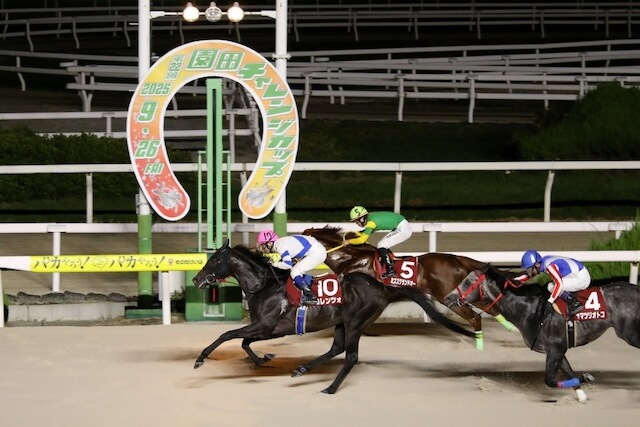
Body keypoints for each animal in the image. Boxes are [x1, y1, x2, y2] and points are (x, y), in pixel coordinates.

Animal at [191, 239, 474, 394]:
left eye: (215, 260)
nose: (196, 279)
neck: (264, 285)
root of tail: (383, 287)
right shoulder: (265, 328)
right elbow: (243, 342)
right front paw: (264, 359)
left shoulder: (267, 326)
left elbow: (228, 334)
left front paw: (200, 359)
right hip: (341, 322)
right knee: (337, 348)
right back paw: (302, 370)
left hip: (356, 322)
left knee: (350, 356)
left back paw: (330, 388)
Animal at [303, 226, 516, 350]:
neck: (350, 259)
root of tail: (457, 259)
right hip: (462, 292)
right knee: (490, 308)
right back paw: (511, 329)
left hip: (448, 295)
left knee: (474, 317)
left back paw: (480, 344)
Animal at [442, 265, 640, 403]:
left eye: (468, 282)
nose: (448, 297)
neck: (530, 310)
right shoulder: (557, 350)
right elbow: (568, 373)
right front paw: (582, 393)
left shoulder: (555, 349)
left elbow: (549, 380)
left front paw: (587, 377)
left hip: (629, 333)